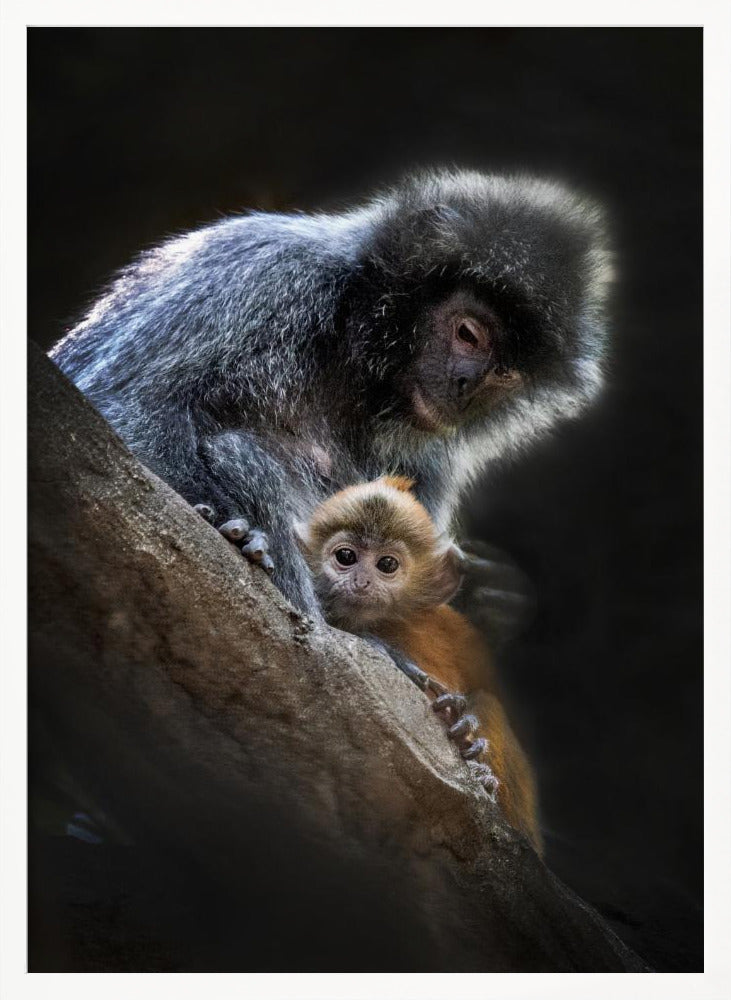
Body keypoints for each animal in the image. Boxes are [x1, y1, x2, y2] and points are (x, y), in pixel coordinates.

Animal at [50, 169, 611, 620]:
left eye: (505, 373)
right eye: (468, 333)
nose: (466, 387)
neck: (350, 353)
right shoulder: (265, 272)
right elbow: (125, 404)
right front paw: (232, 527)